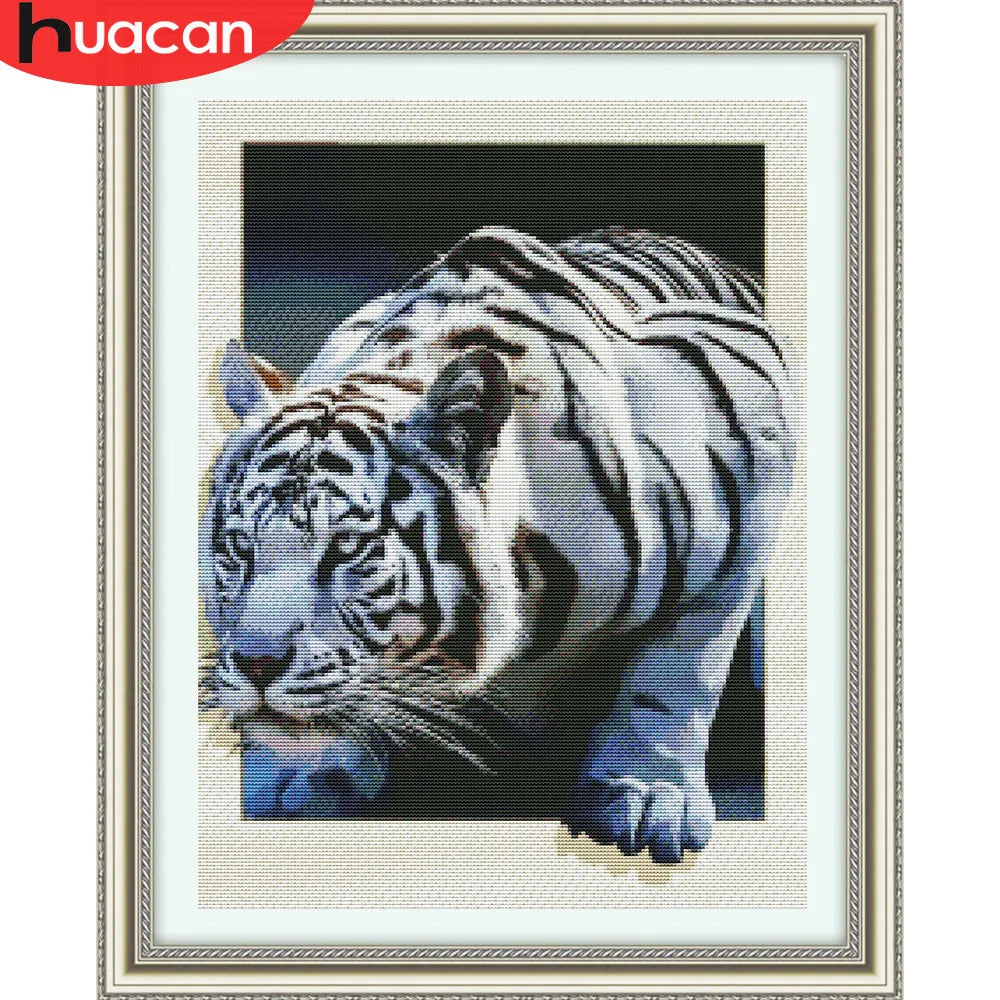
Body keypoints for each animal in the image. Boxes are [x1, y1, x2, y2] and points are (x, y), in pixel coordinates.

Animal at [200, 226, 795, 862]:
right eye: (239, 548)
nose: (256, 665)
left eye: (346, 548)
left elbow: (681, 668)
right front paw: (303, 771)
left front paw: (645, 793)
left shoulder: (753, 424)